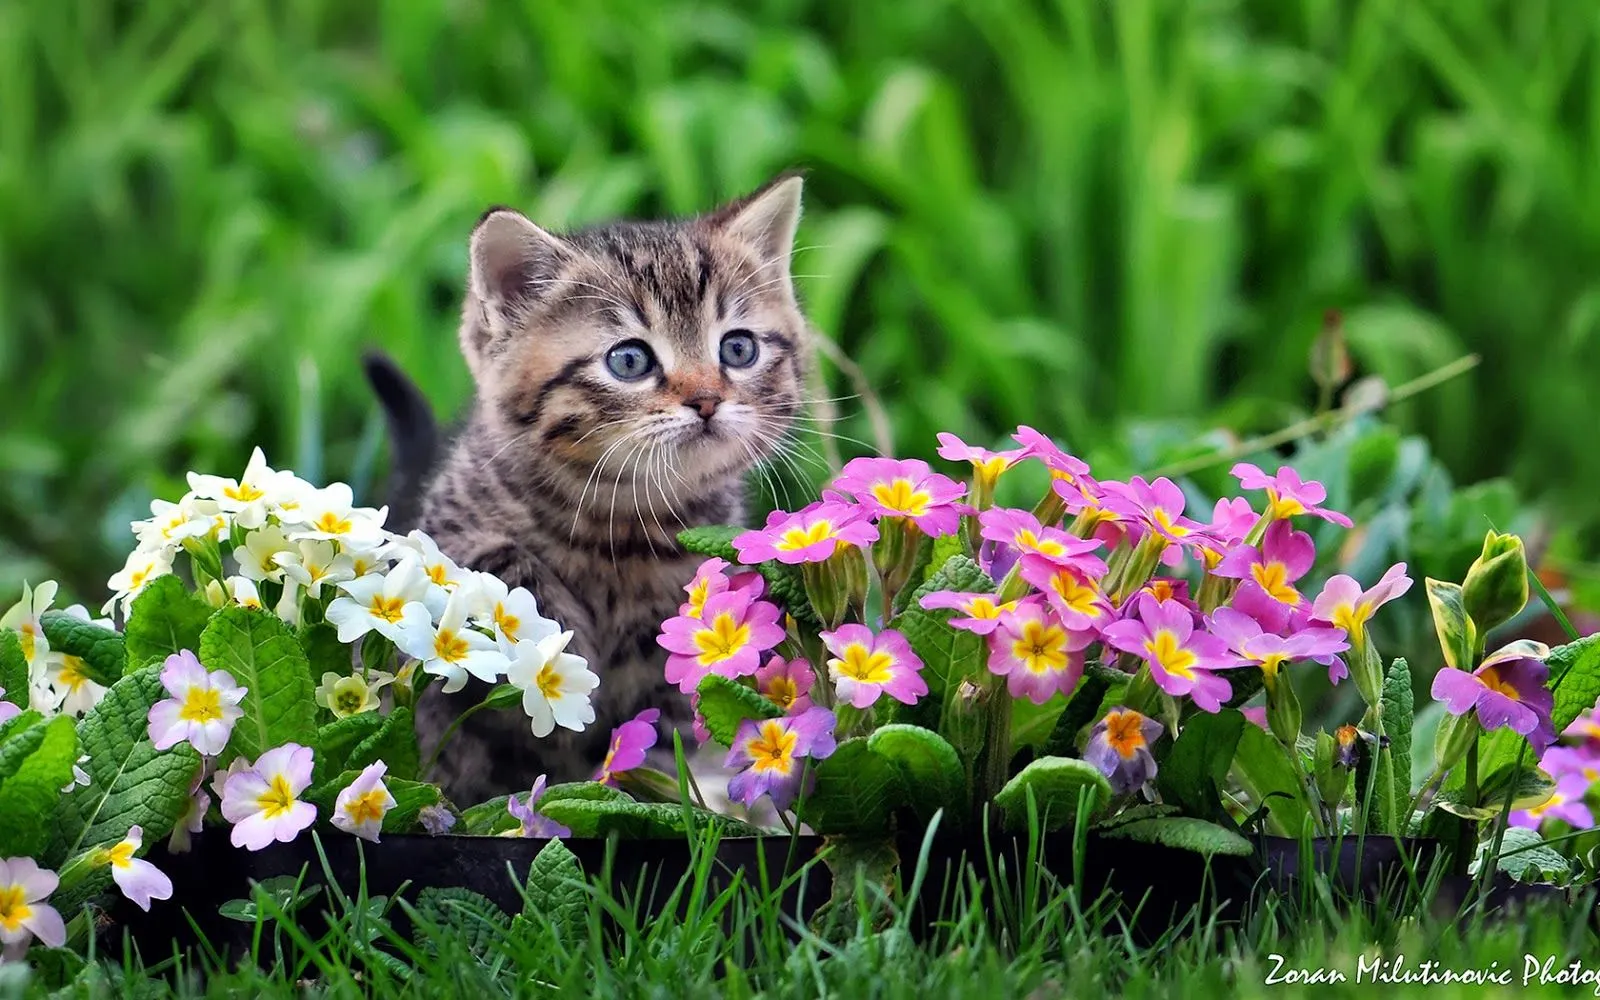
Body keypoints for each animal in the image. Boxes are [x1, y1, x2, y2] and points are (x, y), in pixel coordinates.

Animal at [379, 173, 806, 803]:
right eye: (629, 360)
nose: (707, 400)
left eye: (738, 348)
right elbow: (493, 563)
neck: (619, 519)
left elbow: (656, 742)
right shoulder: (444, 535)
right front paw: (563, 647)